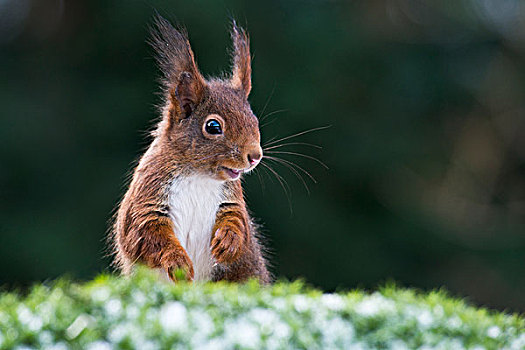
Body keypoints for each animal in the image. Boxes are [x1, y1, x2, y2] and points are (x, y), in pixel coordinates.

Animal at [112, 17, 270, 284]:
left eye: (254, 119)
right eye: (213, 126)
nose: (254, 156)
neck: (198, 175)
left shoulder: (231, 199)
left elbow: (237, 221)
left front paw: (228, 241)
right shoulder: (146, 197)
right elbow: (145, 233)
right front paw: (178, 261)